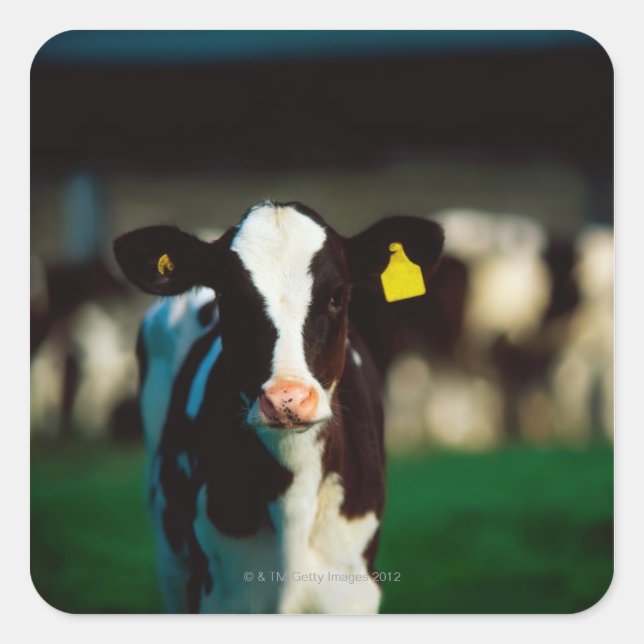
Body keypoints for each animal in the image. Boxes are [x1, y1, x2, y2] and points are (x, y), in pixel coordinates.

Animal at [113, 200, 444, 613]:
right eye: (230, 299)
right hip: (170, 562)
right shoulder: (217, 592)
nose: (288, 398)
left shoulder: (352, 590)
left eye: (336, 295)